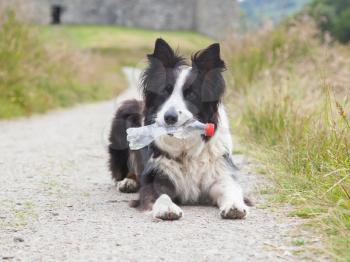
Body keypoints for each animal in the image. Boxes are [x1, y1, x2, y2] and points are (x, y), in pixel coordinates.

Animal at [108, 38, 249, 219]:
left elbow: (230, 189)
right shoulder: (155, 176)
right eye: (164, 92)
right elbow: (160, 194)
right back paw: (128, 181)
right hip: (124, 116)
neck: (184, 146)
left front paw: (234, 206)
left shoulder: (219, 175)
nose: (169, 117)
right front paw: (167, 208)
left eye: (191, 94)